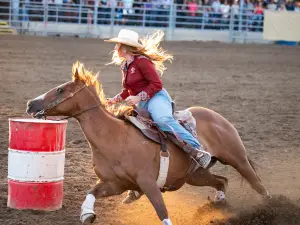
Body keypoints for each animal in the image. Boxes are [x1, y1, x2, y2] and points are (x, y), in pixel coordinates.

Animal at [25, 62, 270, 225]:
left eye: (60, 89)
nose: (30, 104)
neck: (113, 138)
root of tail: (217, 117)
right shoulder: (114, 184)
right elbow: (91, 192)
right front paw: (87, 214)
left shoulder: (148, 183)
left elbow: (162, 213)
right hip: (194, 175)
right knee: (221, 181)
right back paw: (217, 204)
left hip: (237, 158)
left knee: (257, 185)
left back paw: (270, 207)